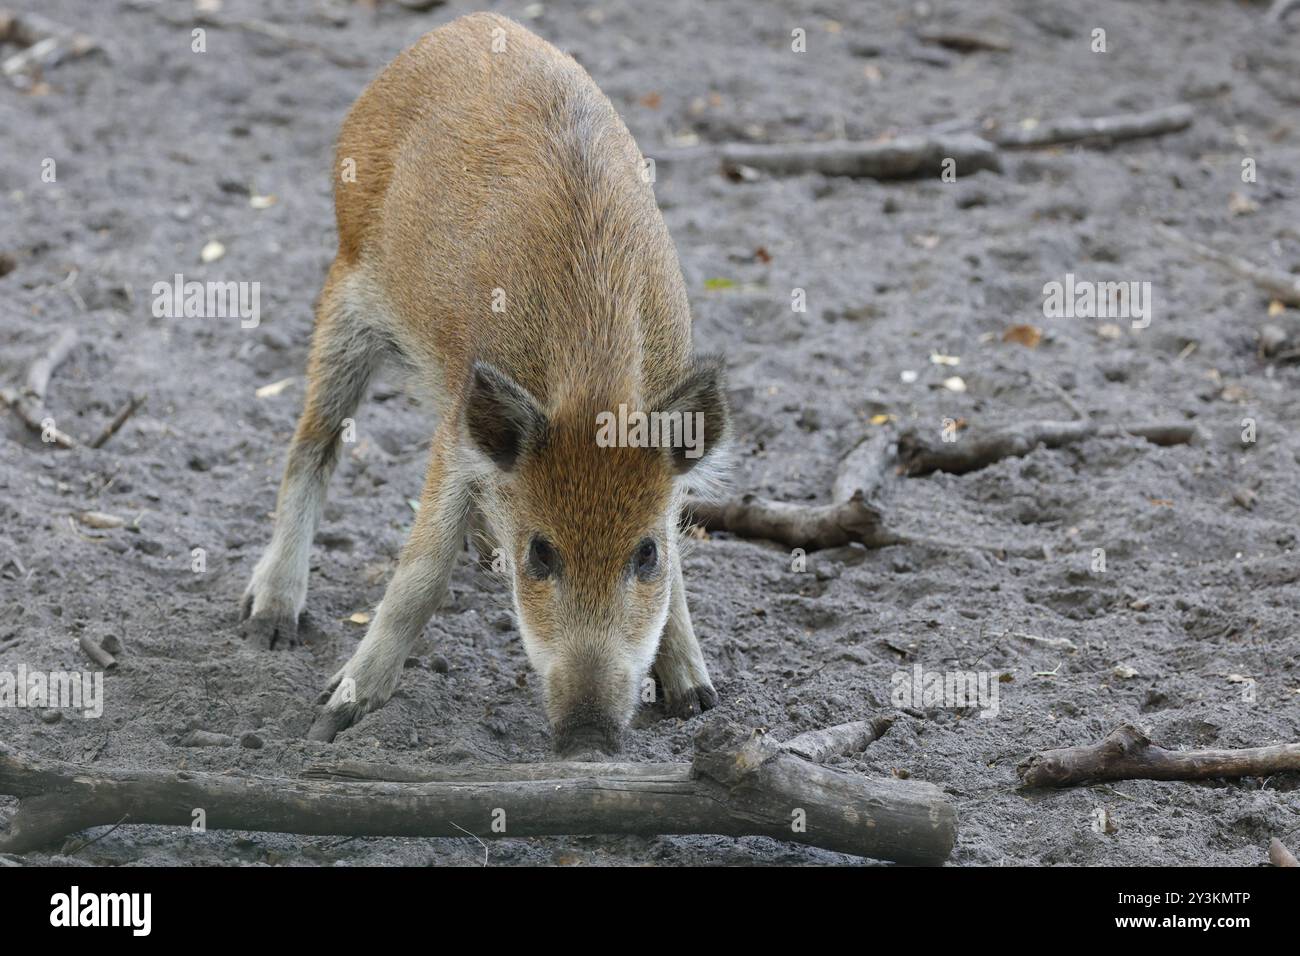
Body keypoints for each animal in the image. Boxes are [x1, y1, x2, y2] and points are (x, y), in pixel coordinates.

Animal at [239, 13, 730, 755]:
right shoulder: (458, 432)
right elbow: (422, 569)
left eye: (644, 554)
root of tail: (466, 24)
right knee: (312, 445)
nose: (589, 739)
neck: (593, 388)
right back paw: (271, 622)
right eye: (541, 554)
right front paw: (333, 715)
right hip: (346, 297)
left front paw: (697, 699)